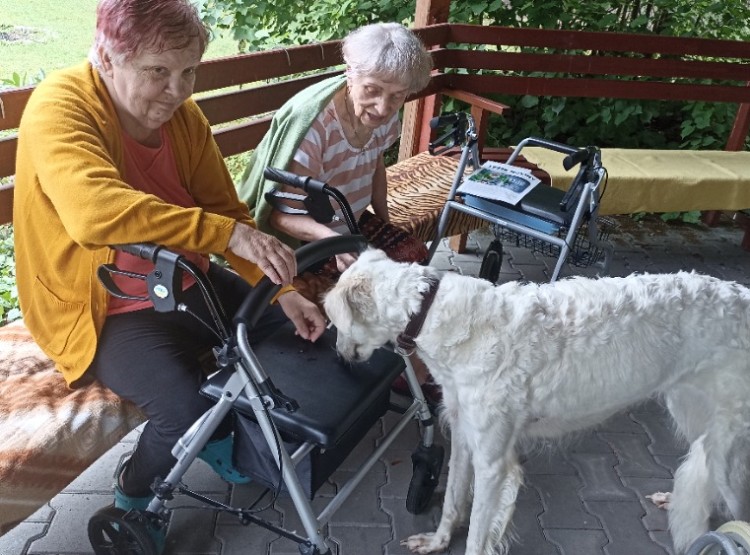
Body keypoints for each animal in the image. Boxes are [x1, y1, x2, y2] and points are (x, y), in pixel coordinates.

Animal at [324, 250, 750, 552]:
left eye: (334, 323)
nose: (339, 356)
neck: (432, 312)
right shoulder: (463, 433)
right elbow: (452, 502)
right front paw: (436, 542)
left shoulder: (494, 463)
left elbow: (477, 535)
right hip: (692, 411)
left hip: (728, 450)